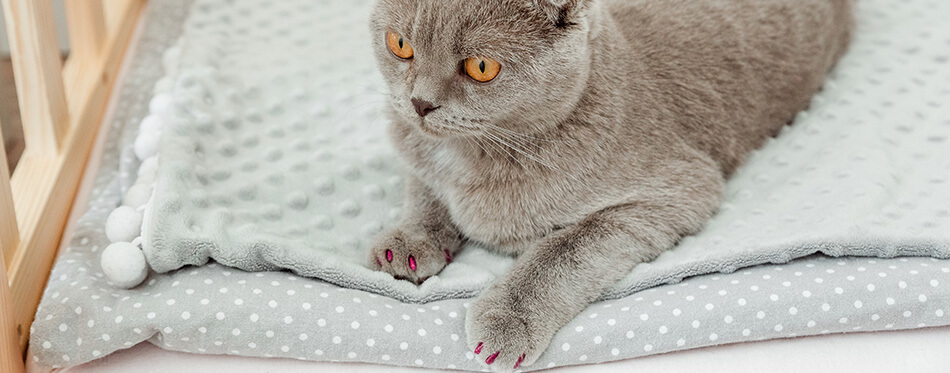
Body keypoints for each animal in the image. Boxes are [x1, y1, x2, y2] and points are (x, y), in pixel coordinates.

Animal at [366, 0, 856, 368]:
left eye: (481, 67)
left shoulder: (681, 186)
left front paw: (507, 318)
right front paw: (408, 243)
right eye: (400, 45)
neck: (471, 155)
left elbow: (564, 248)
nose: (420, 103)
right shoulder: (415, 147)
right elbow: (424, 186)